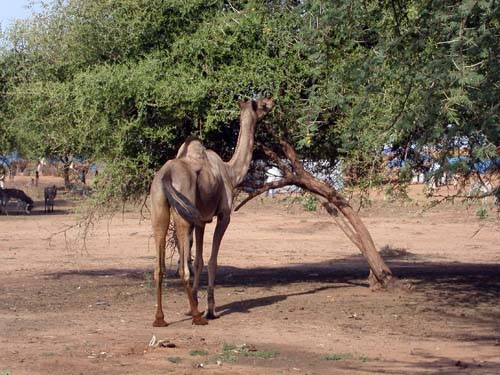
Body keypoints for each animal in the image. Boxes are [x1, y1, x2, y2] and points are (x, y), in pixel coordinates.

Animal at [149, 97, 274, 326]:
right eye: (259, 103)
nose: (271, 101)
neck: (231, 172)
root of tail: (166, 176)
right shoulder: (223, 216)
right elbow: (212, 261)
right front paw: (209, 309)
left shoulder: (201, 220)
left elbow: (199, 261)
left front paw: (194, 304)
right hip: (183, 211)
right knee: (182, 267)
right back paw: (199, 318)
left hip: (159, 208)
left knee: (159, 266)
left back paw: (160, 319)